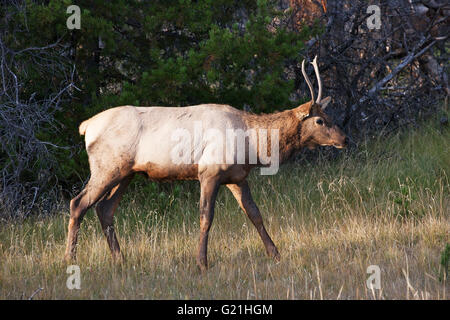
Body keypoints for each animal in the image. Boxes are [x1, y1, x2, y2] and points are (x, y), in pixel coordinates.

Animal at [65, 56, 348, 272]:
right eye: (320, 120)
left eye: (328, 115)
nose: (344, 138)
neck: (252, 145)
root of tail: (86, 127)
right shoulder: (209, 172)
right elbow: (206, 217)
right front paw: (202, 262)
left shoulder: (237, 177)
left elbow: (255, 214)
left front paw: (275, 254)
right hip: (106, 167)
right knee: (78, 203)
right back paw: (70, 258)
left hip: (127, 173)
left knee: (104, 209)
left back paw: (120, 259)